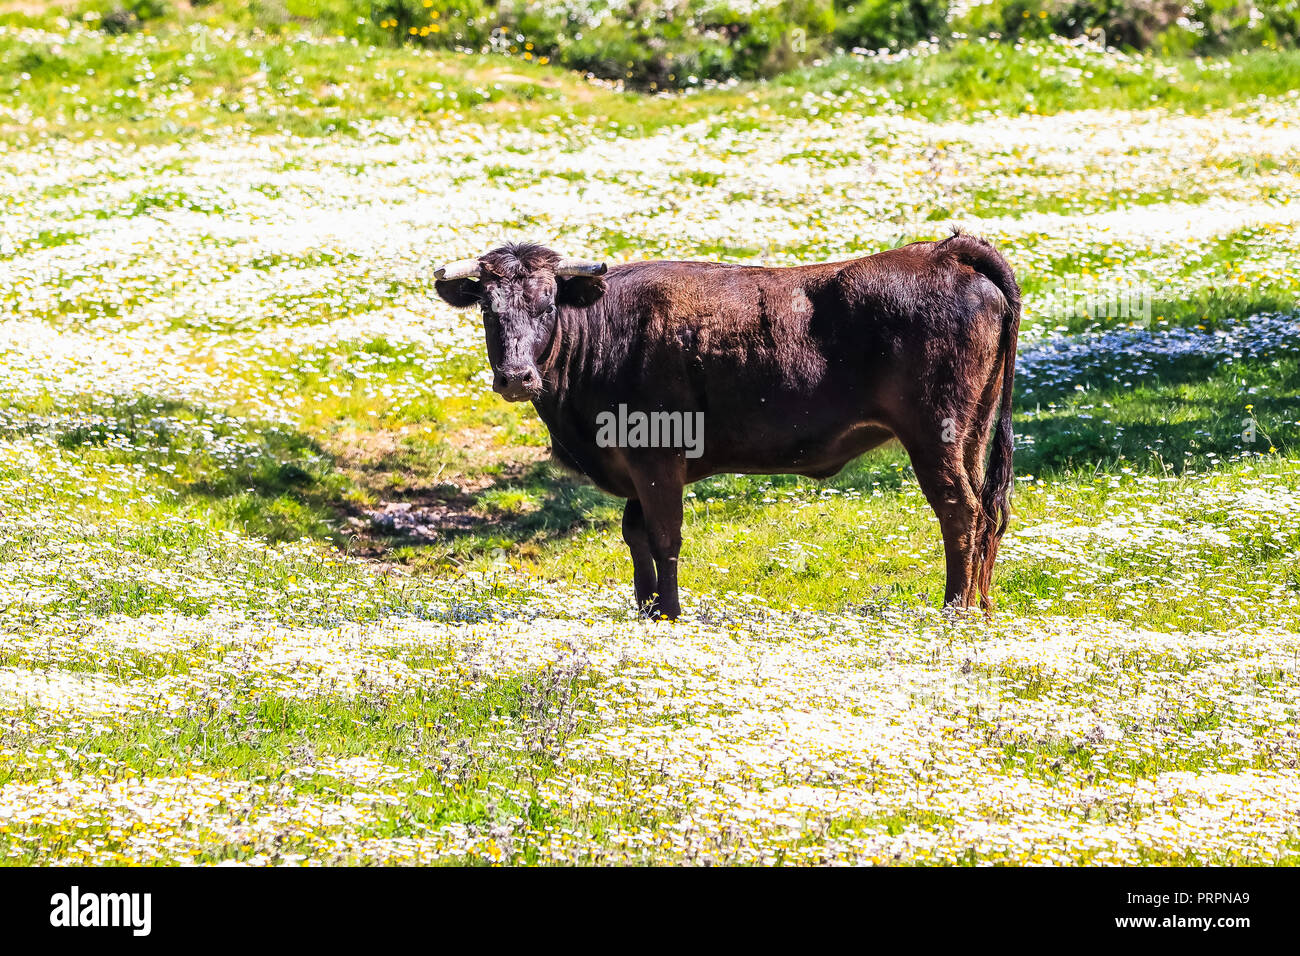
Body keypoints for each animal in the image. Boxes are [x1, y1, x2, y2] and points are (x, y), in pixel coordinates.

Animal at [433, 232, 1020, 620]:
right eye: (488, 309)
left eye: (547, 304)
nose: (515, 376)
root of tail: (945, 250)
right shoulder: (634, 463)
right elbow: (635, 534)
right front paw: (646, 609)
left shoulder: (656, 458)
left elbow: (664, 535)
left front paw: (669, 613)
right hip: (972, 433)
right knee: (987, 513)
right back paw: (982, 604)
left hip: (934, 434)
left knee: (959, 511)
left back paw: (954, 608)